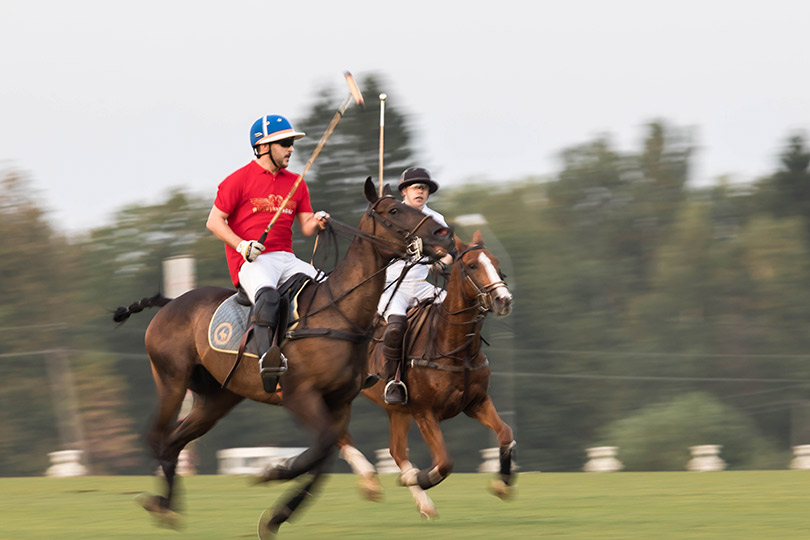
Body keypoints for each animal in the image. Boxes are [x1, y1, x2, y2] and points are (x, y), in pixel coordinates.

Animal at [110, 179, 452, 536]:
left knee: (174, 442)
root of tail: (170, 303)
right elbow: (321, 447)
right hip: (172, 381)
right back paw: (161, 504)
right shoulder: (299, 395)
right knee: (157, 436)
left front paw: (277, 513)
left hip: (215, 398)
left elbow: (324, 458)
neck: (338, 312)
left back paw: (165, 506)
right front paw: (275, 471)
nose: (444, 234)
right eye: (395, 210)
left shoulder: (340, 402)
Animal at [338, 230, 516, 516]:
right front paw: (415, 478)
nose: (503, 300)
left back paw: (420, 503)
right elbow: (444, 462)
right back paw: (371, 482)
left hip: (396, 409)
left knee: (397, 451)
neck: (455, 347)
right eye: (472, 265)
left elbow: (506, 434)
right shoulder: (425, 412)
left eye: (496, 263)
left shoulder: (476, 402)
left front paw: (502, 484)